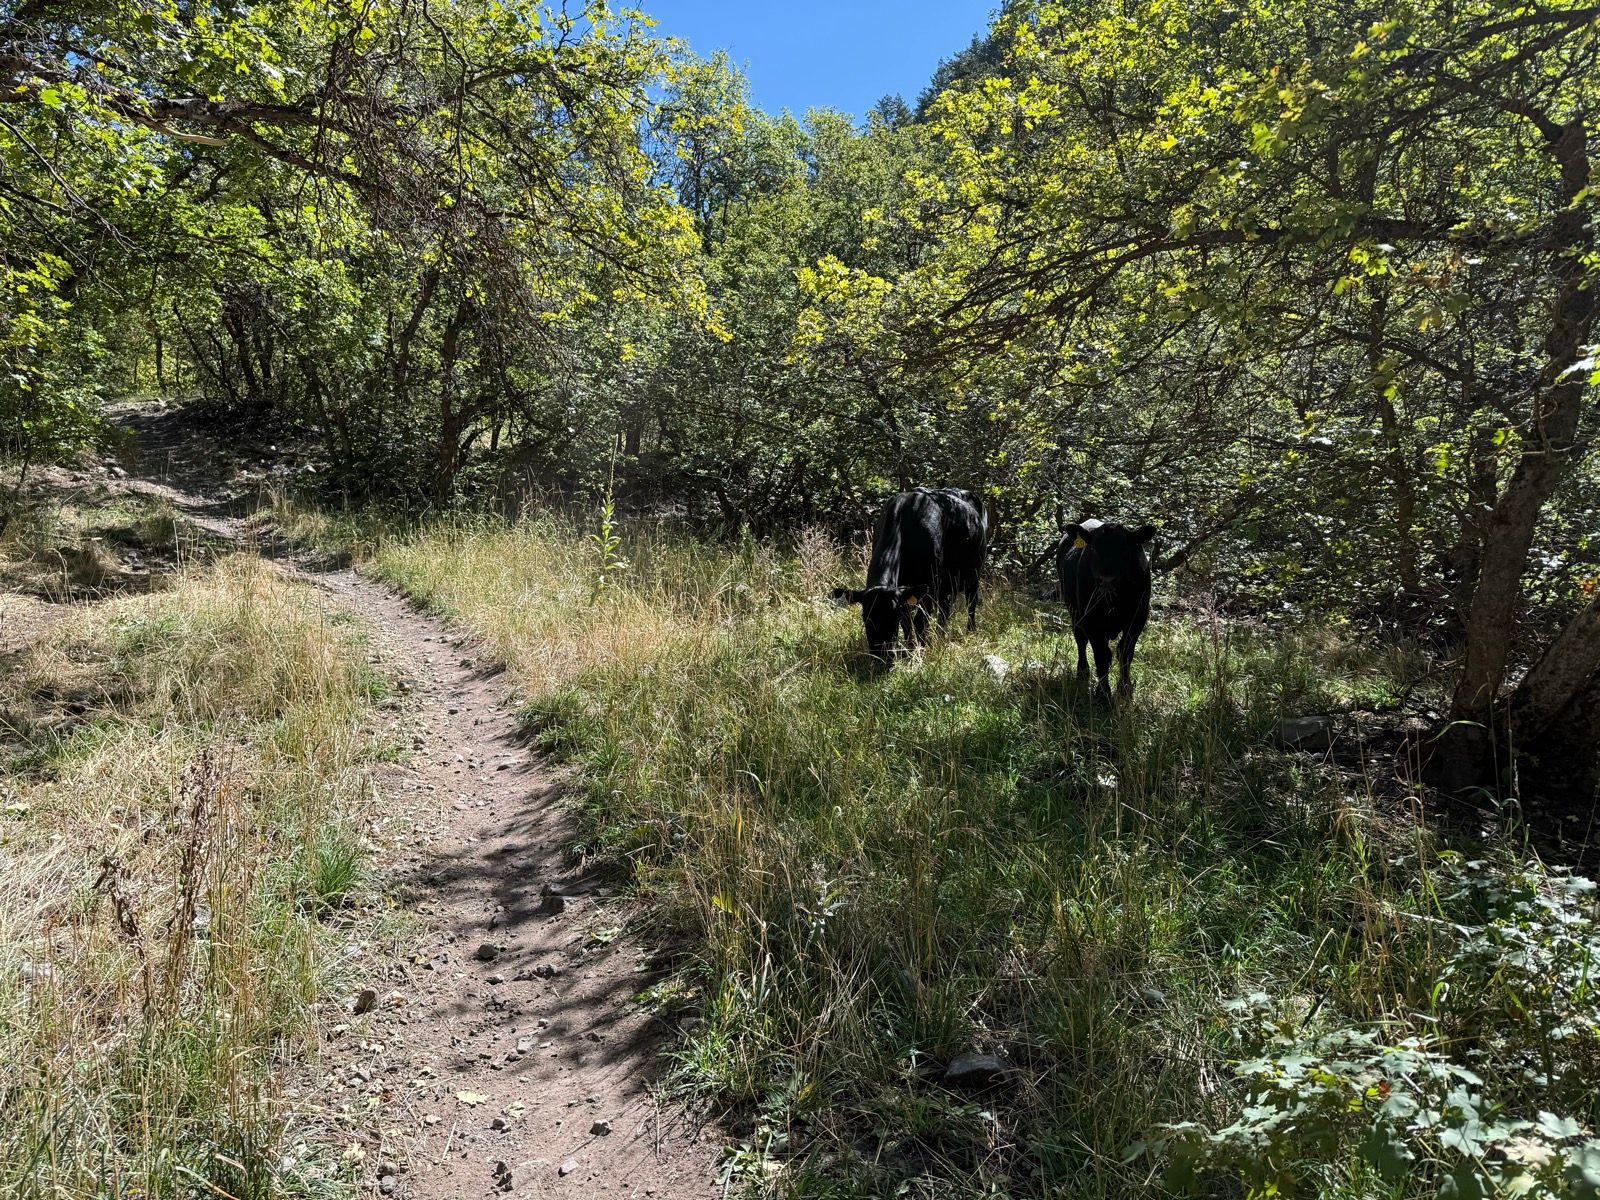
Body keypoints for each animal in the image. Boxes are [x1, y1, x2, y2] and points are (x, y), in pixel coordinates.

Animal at [832, 487, 988, 660]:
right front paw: (909, 649)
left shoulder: (929, 587)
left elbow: (919, 622)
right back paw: (940, 637)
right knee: (945, 610)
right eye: (865, 618)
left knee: (971, 604)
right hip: (947, 585)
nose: (881, 656)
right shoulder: (904, 593)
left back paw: (970, 632)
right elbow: (907, 623)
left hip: (974, 574)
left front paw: (921, 651)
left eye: (893, 618)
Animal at [1056, 518, 1156, 701]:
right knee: (1080, 639)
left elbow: (1125, 652)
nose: (1106, 580)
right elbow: (1102, 655)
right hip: (1074, 611)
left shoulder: (1138, 617)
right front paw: (1103, 694)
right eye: (1094, 548)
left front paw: (1125, 689)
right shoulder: (1091, 619)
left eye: (1124, 549)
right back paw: (1082, 671)